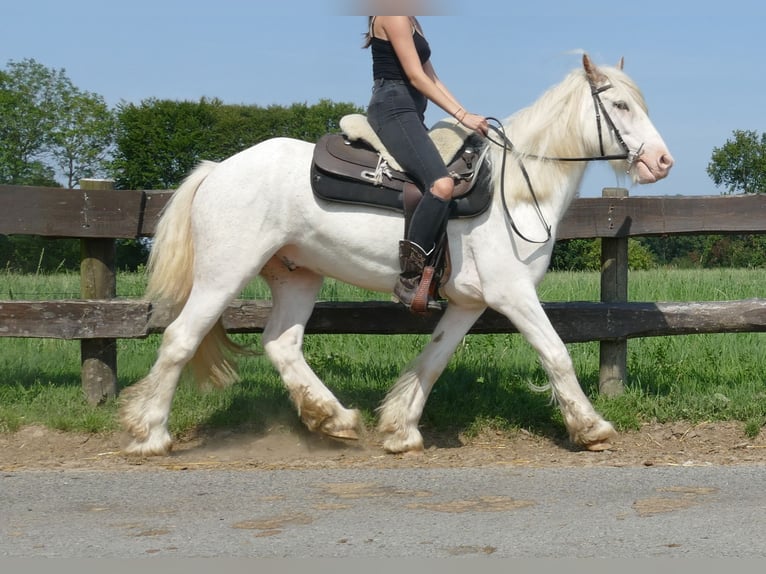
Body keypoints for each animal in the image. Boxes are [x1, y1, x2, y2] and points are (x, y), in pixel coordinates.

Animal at [120, 55, 672, 460]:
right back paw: (149, 434)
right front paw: (592, 427)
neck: (514, 188)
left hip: (298, 275)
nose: (662, 161)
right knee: (180, 339)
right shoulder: (512, 293)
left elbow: (433, 360)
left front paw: (400, 428)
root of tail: (217, 169)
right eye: (620, 104)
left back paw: (335, 419)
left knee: (281, 343)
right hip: (223, 274)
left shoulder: (470, 302)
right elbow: (555, 353)